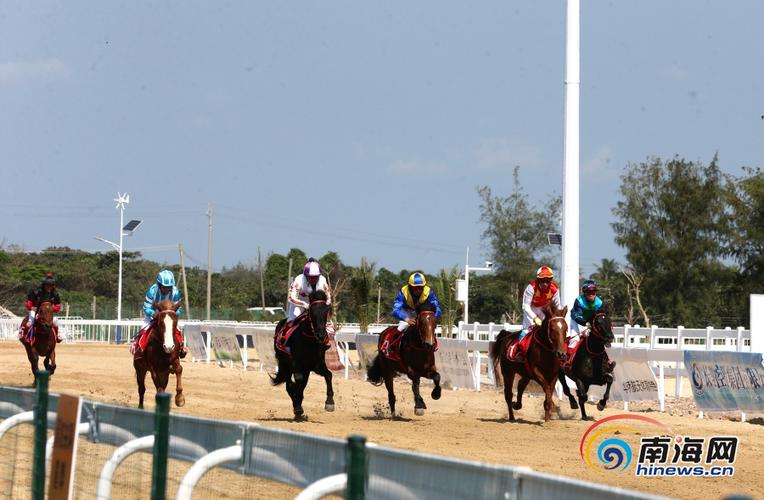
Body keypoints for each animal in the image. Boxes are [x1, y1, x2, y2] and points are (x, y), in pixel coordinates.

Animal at [274, 290, 336, 418]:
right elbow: (297, 382)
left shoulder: (316, 364)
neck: (309, 340)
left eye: (326, 312)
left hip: (305, 369)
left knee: (301, 384)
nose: (321, 335)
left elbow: (328, 375)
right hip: (285, 364)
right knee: (289, 384)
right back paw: (297, 405)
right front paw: (297, 406)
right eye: (312, 312)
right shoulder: (296, 363)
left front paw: (330, 402)